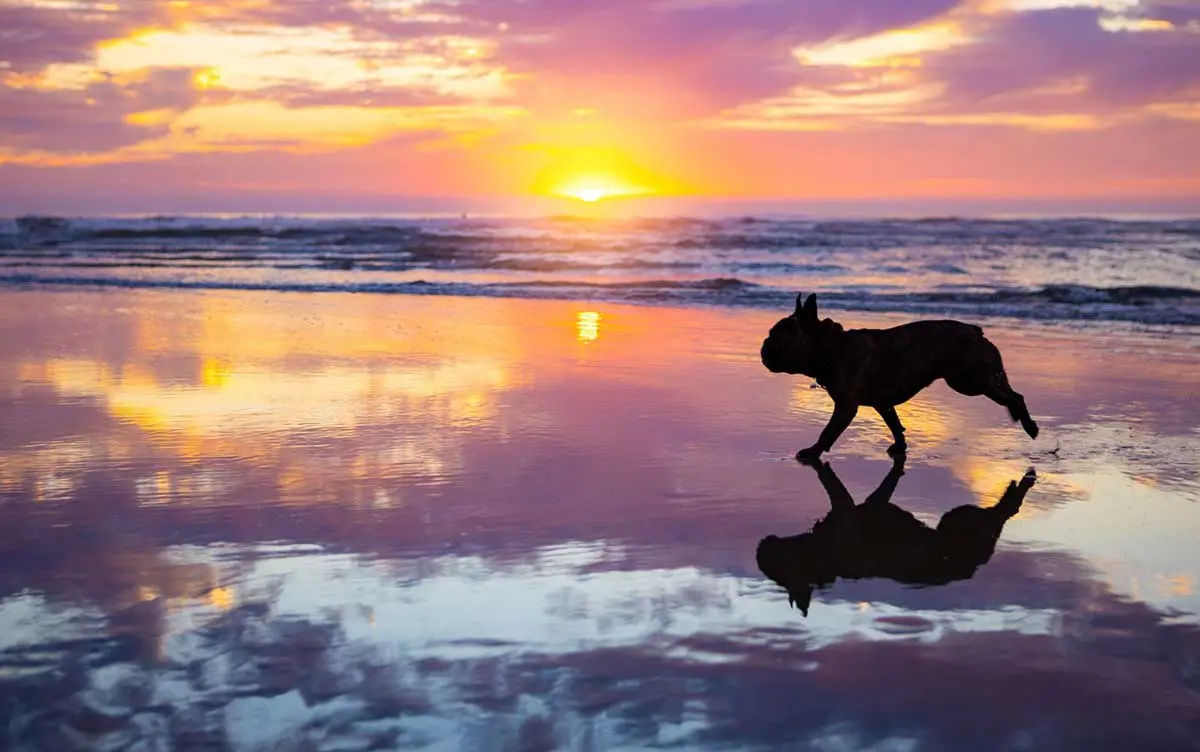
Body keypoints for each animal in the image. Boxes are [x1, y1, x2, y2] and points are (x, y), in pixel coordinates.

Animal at [758, 455, 1032, 614]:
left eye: (776, 566)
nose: (761, 546)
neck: (822, 556)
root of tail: (972, 568)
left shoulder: (844, 508)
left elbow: (830, 483)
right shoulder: (874, 502)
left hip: (965, 519)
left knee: (1004, 512)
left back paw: (1023, 484)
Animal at [763, 292, 1036, 458]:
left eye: (779, 336)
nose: (764, 346)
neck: (833, 348)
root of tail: (976, 331)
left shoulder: (846, 407)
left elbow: (828, 431)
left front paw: (813, 452)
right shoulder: (883, 404)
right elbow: (894, 424)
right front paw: (901, 446)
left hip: (970, 381)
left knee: (1014, 396)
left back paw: (1029, 425)